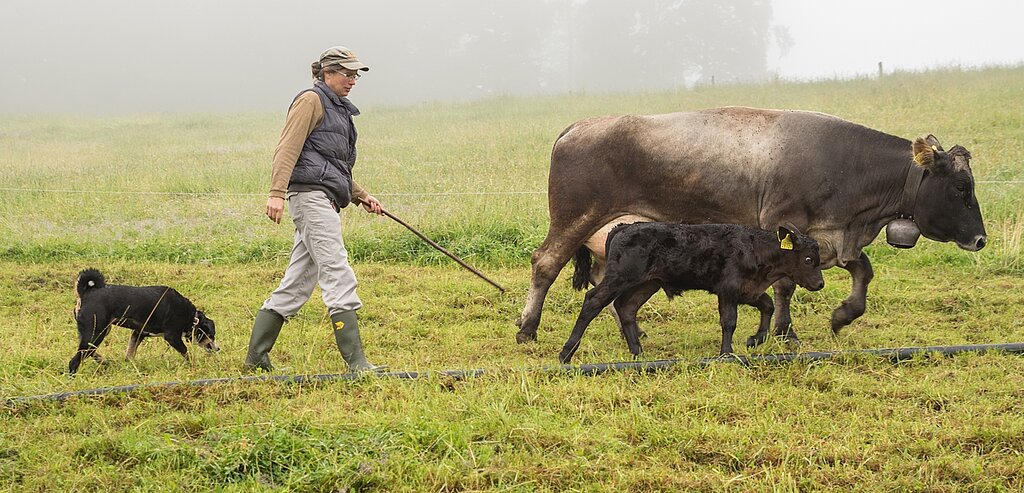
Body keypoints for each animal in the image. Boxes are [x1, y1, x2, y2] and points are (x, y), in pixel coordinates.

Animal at [70, 268, 220, 373]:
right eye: (211, 335)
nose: (218, 348)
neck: (191, 317)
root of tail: (87, 293)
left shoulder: (138, 333)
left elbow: (129, 354)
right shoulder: (172, 337)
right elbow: (186, 353)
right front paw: (194, 365)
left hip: (98, 332)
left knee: (88, 351)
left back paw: (104, 361)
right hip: (96, 332)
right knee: (75, 360)